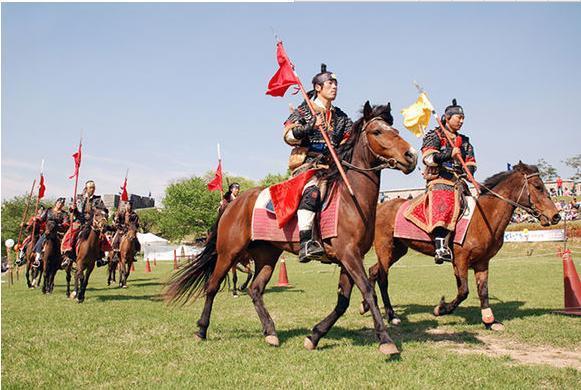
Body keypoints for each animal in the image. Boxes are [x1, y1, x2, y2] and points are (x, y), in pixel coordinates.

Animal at [167, 102, 416, 354]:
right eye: (377, 131)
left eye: (395, 130)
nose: (411, 156)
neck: (350, 197)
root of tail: (233, 205)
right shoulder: (349, 255)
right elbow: (367, 291)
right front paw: (385, 340)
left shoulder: (350, 258)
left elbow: (343, 301)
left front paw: (314, 336)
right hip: (229, 253)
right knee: (212, 286)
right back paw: (201, 329)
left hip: (267, 255)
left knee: (255, 289)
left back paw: (270, 332)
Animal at [360, 161, 560, 330]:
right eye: (538, 186)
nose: (556, 215)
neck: (484, 217)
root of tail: (379, 207)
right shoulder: (461, 260)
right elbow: (464, 291)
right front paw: (441, 309)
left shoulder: (482, 263)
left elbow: (483, 291)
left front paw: (490, 321)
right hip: (385, 247)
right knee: (383, 277)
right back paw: (391, 315)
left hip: (398, 249)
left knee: (373, 271)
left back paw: (365, 305)